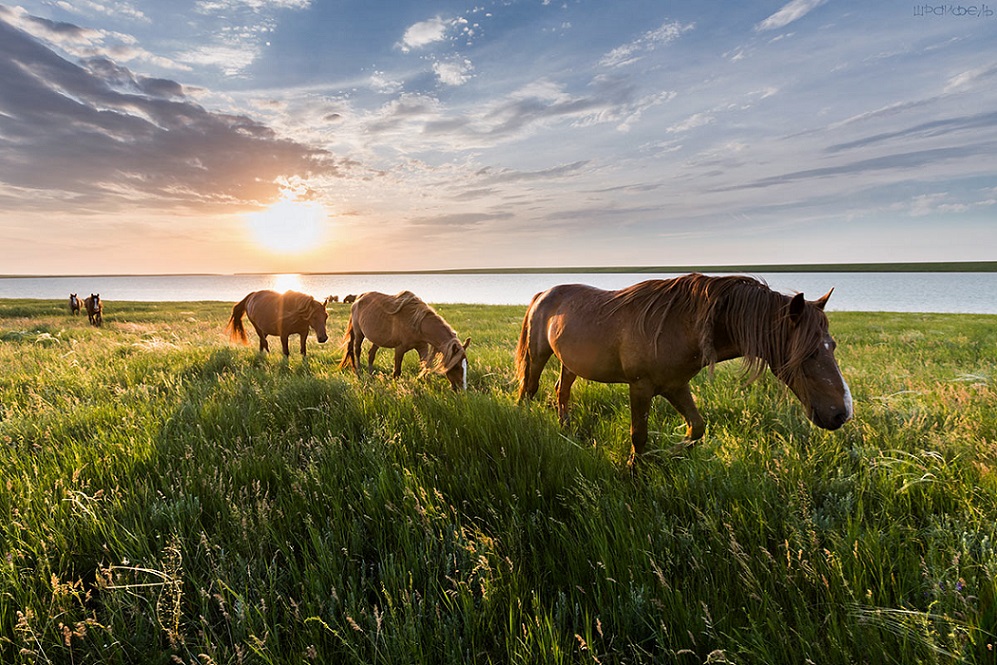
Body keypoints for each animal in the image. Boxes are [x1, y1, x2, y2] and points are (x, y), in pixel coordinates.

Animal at [338, 290, 470, 390]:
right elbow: (397, 372)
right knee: (357, 351)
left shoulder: (423, 347)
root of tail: (358, 299)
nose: (461, 390)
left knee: (371, 354)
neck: (417, 323)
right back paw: (359, 372)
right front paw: (395, 388)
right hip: (359, 333)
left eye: (466, 364)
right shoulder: (400, 349)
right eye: (456, 366)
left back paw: (371, 376)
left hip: (377, 339)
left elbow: (425, 367)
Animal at [516, 272, 852, 464]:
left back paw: (566, 429)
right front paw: (635, 471)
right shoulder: (641, 387)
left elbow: (696, 428)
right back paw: (524, 419)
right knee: (530, 388)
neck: (679, 326)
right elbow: (639, 437)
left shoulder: (675, 387)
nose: (842, 413)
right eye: (808, 353)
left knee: (561, 391)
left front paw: (667, 455)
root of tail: (544, 293)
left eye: (832, 346)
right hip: (538, 354)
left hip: (570, 363)